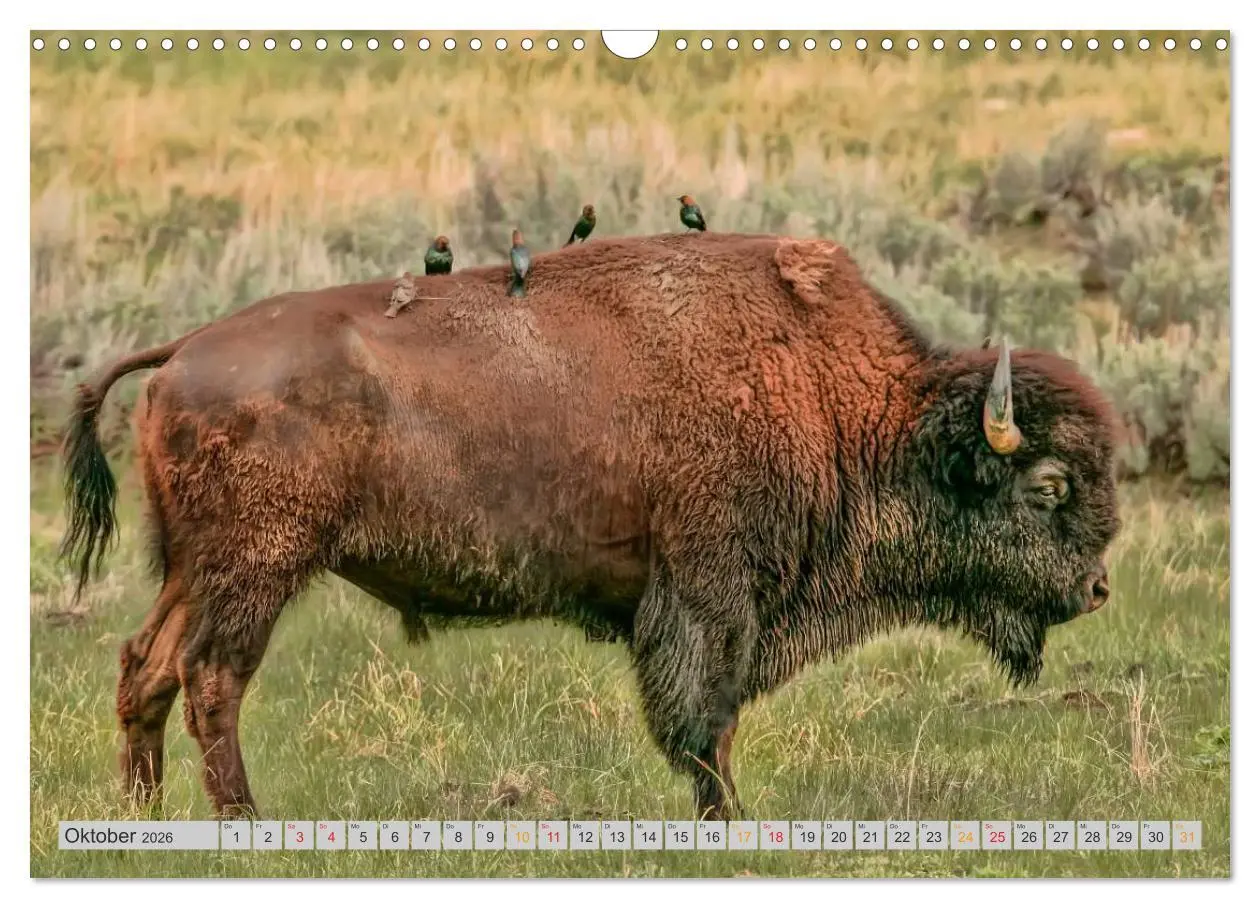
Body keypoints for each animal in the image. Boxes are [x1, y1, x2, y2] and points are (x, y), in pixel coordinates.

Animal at [60, 232, 1120, 819]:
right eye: (1050, 486)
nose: (1099, 589)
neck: (837, 401)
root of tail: (183, 349)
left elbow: (709, 721)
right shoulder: (708, 595)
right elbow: (705, 719)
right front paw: (728, 820)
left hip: (194, 568)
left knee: (145, 666)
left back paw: (147, 818)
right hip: (256, 568)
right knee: (211, 678)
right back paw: (244, 822)